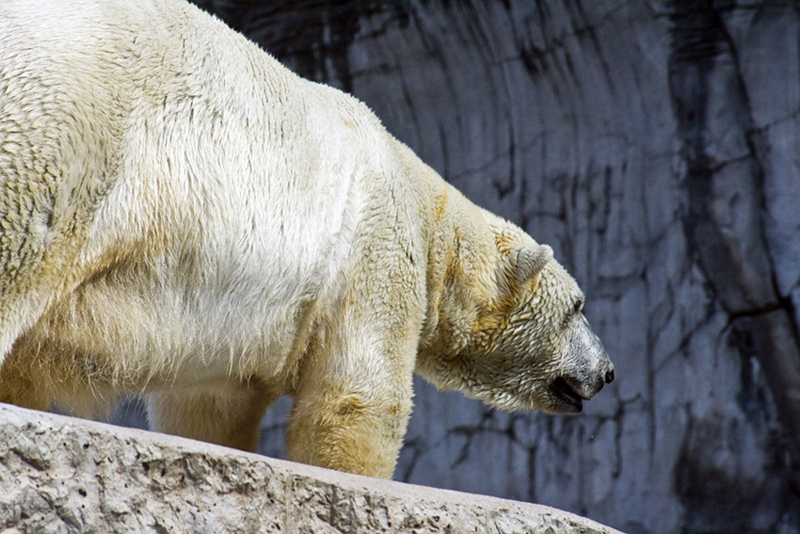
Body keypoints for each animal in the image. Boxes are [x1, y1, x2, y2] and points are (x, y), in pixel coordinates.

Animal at [0, 0, 612, 480]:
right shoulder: (378, 249)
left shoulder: (234, 321)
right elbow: (359, 397)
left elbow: (207, 404)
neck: (431, 214)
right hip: (71, 124)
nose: (606, 371)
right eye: (578, 307)